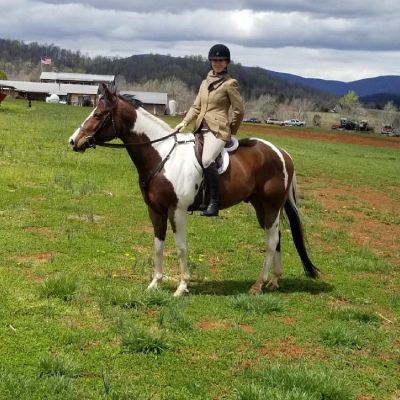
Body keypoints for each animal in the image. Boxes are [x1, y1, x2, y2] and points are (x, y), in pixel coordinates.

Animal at [69, 83, 318, 296]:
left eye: (98, 115)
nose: (74, 141)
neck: (162, 154)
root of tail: (281, 152)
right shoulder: (155, 210)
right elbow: (158, 245)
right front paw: (155, 283)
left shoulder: (177, 211)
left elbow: (180, 247)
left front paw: (182, 287)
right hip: (261, 207)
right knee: (276, 238)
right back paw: (274, 281)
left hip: (271, 205)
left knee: (271, 241)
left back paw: (258, 285)